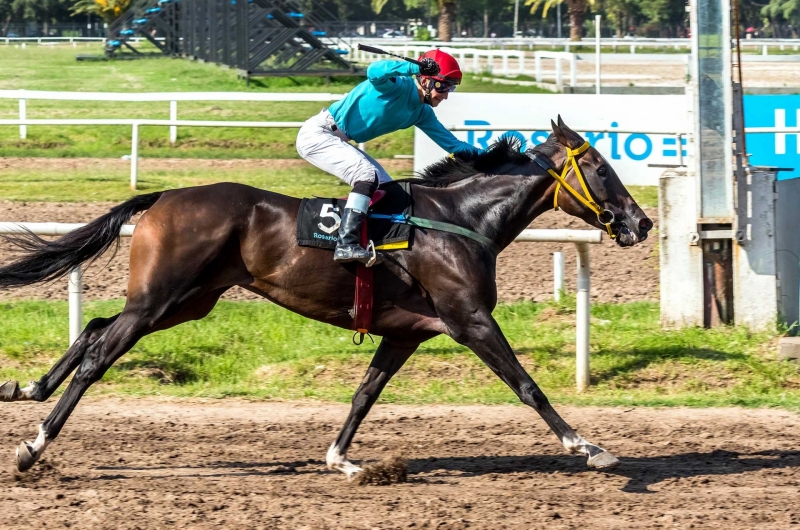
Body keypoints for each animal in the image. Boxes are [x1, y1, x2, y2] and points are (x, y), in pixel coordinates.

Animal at [0, 117, 648, 476]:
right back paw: (33, 446)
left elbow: (364, 394)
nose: (640, 223)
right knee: (98, 354)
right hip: (161, 299)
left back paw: (26, 388)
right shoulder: (469, 319)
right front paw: (590, 447)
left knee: (94, 326)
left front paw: (341, 459)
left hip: (185, 300)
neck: (459, 220)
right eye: (598, 164)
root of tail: (164, 196)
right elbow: (526, 384)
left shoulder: (405, 332)